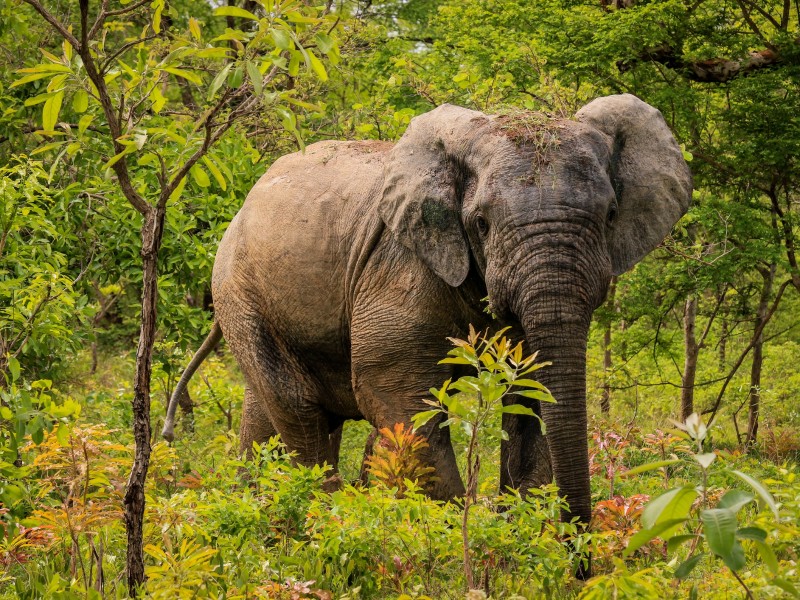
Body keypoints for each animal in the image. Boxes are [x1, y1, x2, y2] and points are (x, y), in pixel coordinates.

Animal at [161, 92, 688, 544]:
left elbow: (528, 398)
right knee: (298, 406)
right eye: (481, 223)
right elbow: (400, 397)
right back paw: (318, 519)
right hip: (238, 289)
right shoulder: (399, 265)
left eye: (611, 214)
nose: (582, 561)